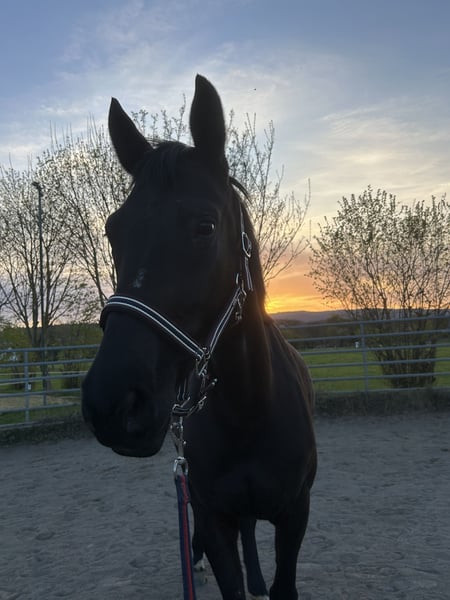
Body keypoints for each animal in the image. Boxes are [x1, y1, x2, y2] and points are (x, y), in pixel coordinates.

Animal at [82, 74, 317, 600]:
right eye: (112, 231)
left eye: (205, 227)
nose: (112, 405)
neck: (250, 409)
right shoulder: (213, 515)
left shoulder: (295, 515)